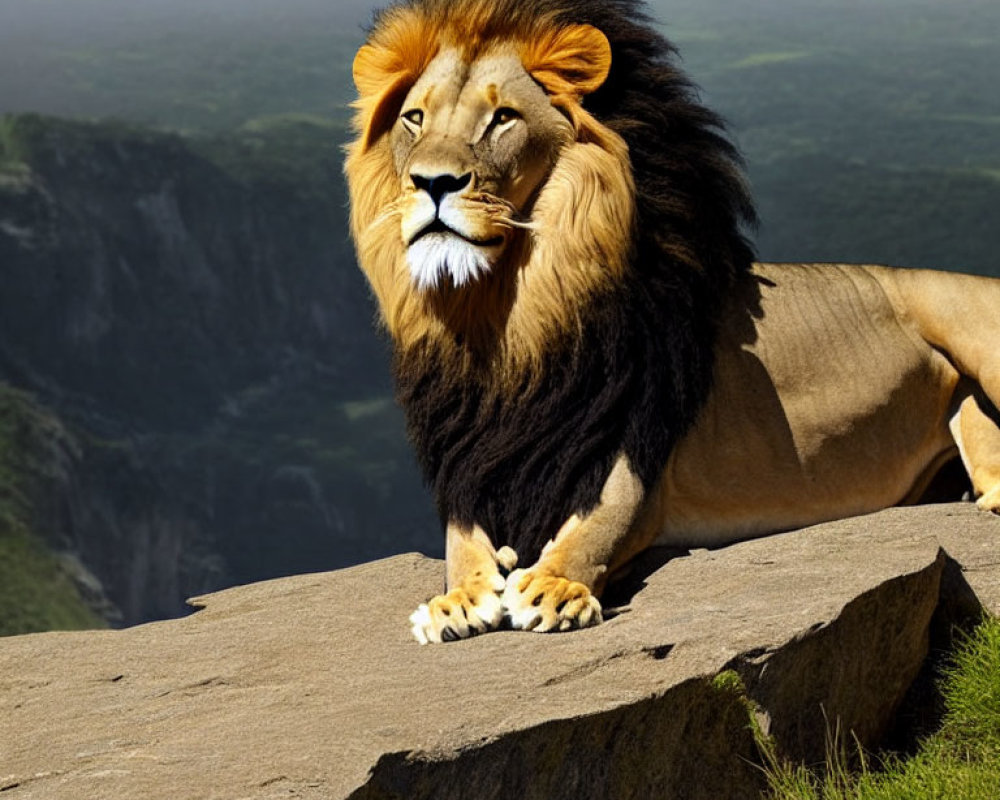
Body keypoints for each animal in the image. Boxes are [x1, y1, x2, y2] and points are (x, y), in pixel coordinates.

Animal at [344, 0, 1000, 644]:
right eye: (414, 120)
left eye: (502, 118)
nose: (431, 182)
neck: (509, 321)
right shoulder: (474, 461)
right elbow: (461, 541)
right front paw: (457, 598)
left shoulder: (631, 449)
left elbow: (598, 522)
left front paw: (556, 588)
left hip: (971, 328)